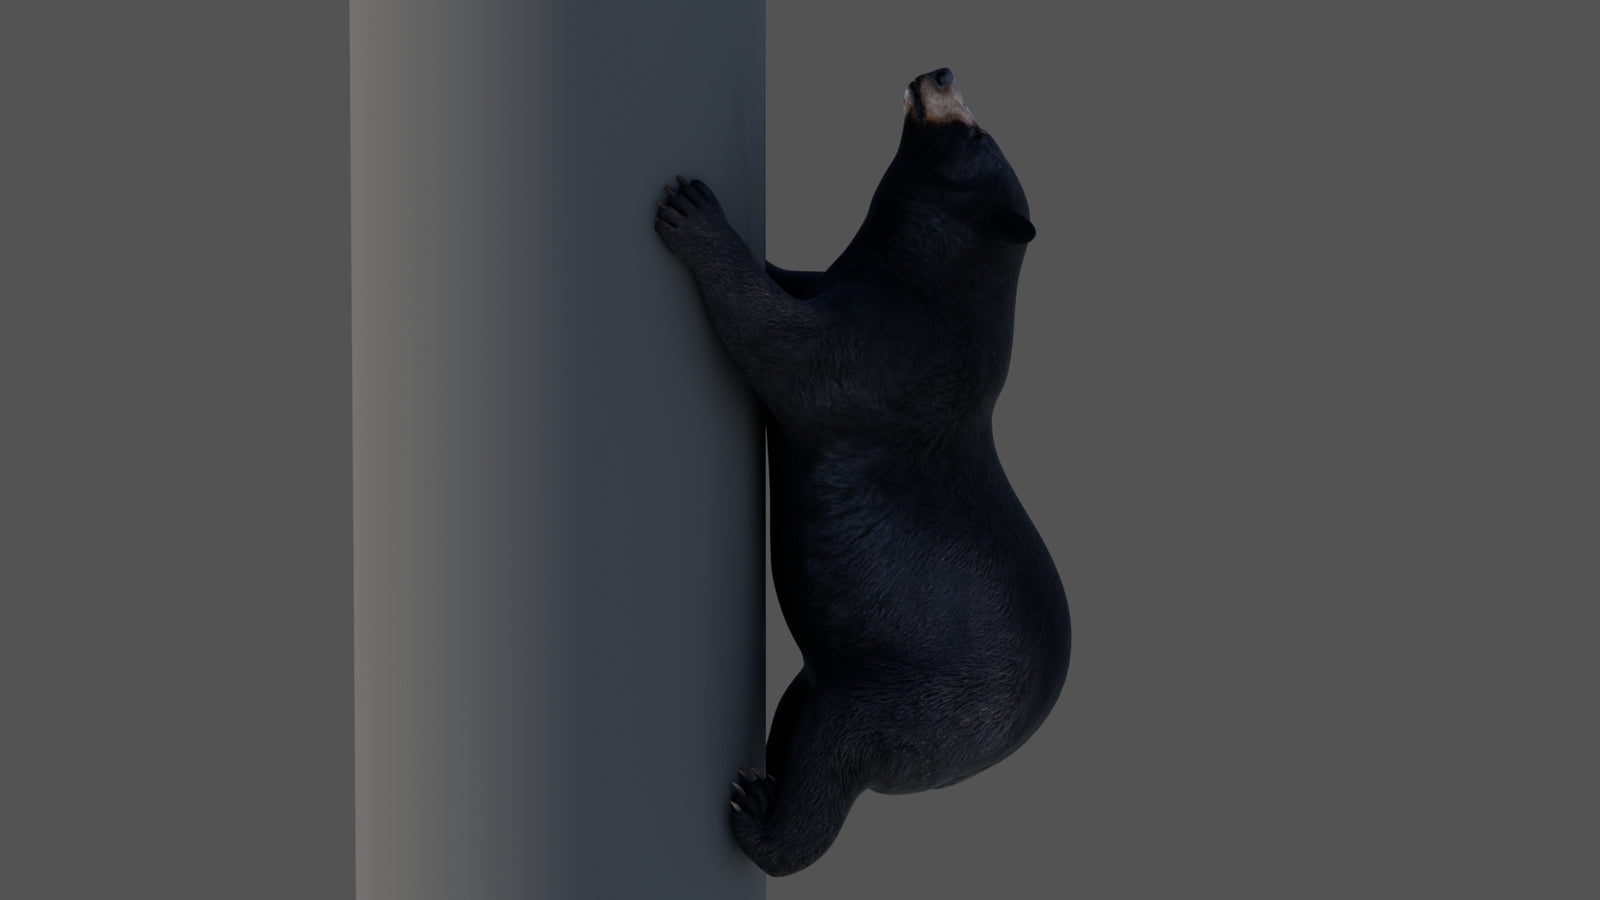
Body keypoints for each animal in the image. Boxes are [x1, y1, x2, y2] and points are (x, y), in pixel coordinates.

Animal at [654, 67, 1070, 877]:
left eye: (972, 131)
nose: (939, 72)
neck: (924, 270)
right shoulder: (846, 290)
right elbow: (795, 282)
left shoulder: (882, 354)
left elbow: (778, 342)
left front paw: (692, 210)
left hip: (909, 699)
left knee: (835, 758)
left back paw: (757, 813)